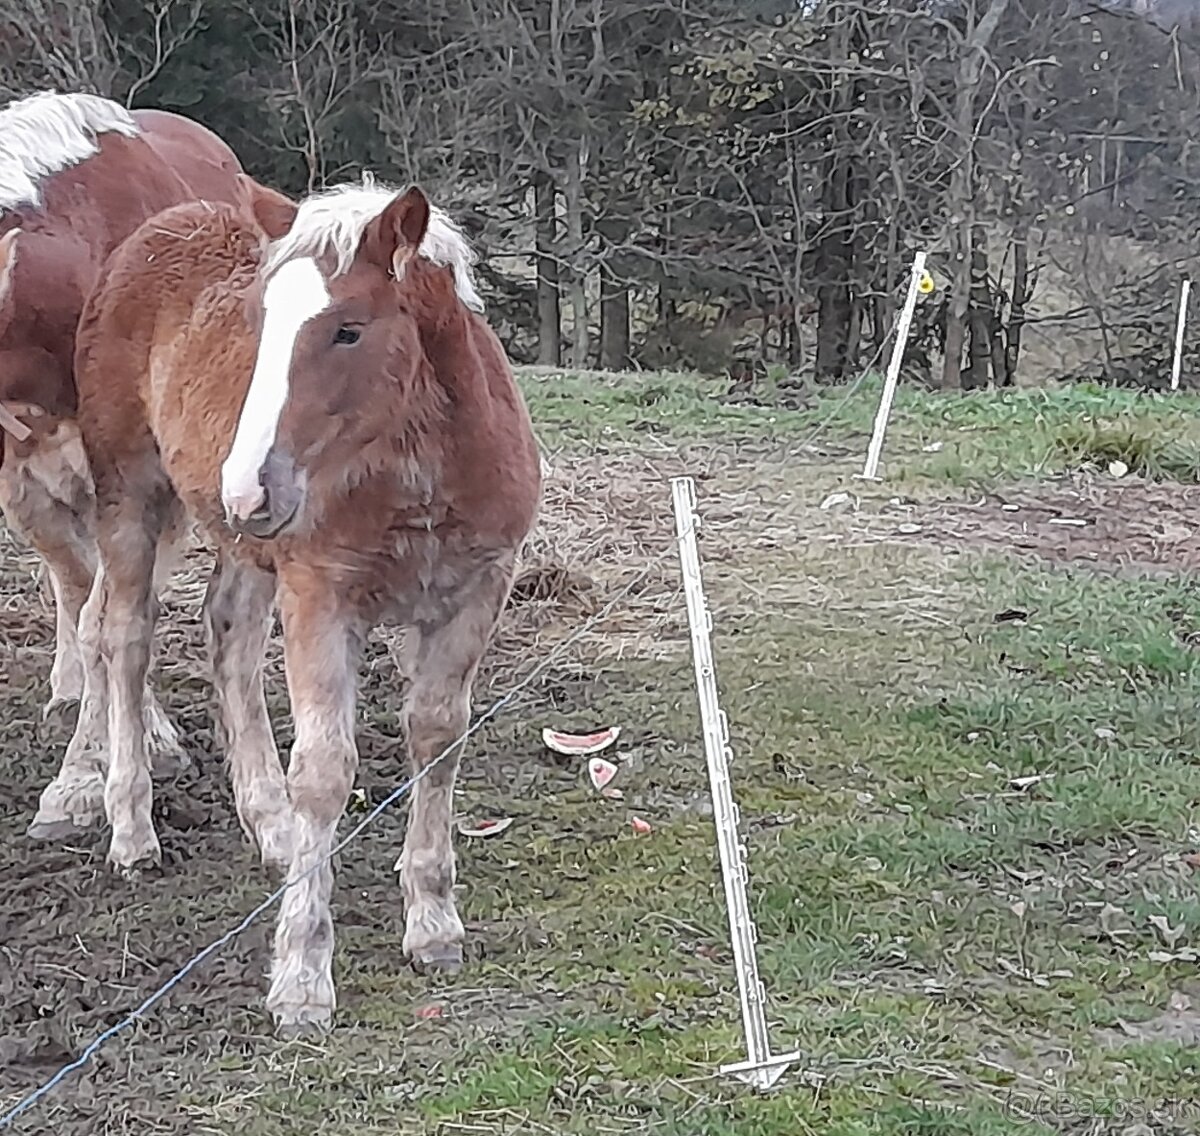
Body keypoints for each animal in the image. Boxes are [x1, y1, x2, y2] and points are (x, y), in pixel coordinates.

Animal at [60, 175, 540, 1031]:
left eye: (348, 330)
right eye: (260, 325)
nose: (249, 487)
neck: (419, 468)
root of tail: (156, 231)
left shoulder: (477, 590)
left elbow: (437, 736)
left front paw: (434, 924)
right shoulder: (322, 593)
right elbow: (324, 768)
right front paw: (302, 978)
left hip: (248, 544)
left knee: (228, 631)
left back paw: (272, 825)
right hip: (132, 498)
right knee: (123, 637)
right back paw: (132, 827)